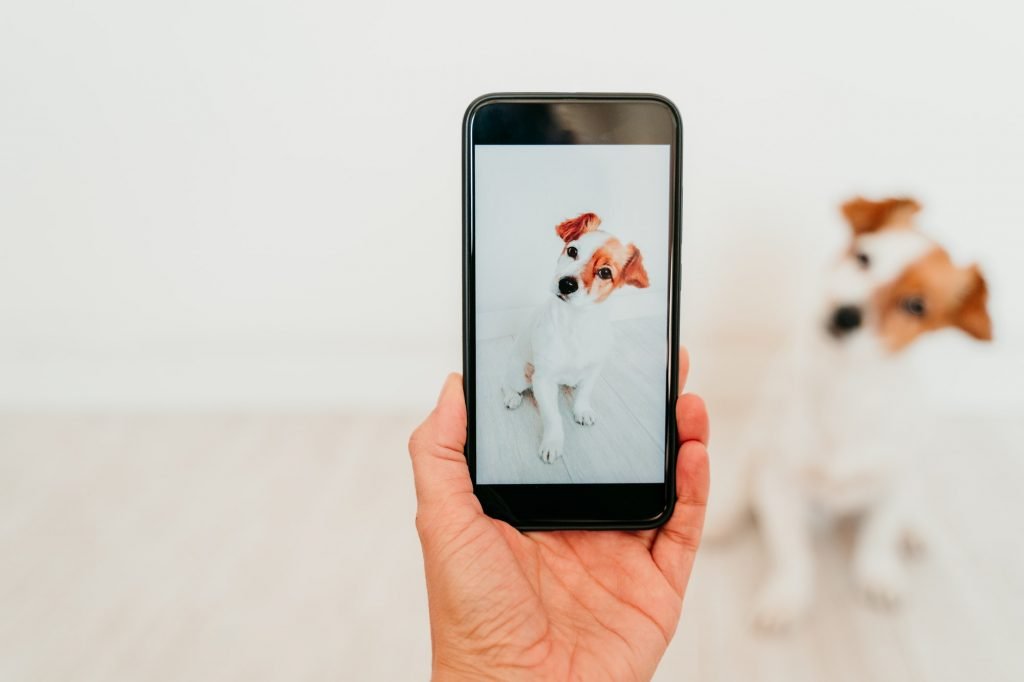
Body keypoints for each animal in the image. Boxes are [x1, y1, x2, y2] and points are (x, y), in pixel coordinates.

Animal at [501, 212, 647, 462]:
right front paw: (553, 443)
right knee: (509, 384)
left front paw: (582, 411)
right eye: (572, 251)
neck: (576, 323)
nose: (566, 284)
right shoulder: (543, 380)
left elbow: (584, 395)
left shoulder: (593, 371)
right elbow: (552, 417)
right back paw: (512, 396)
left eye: (605, 272)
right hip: (521, 374)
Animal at [708, 195, 987, 626]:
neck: (843, 385)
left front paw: (879, 575)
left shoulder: (893, 480)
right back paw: (723, 518)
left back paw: (913, 528)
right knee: (740, 485)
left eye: (916, 305)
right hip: (753, 443)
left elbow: (877, 537)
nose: (846, 314)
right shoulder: (779, 482)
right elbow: (792, 552)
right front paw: (787, 596)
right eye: (864, 257)